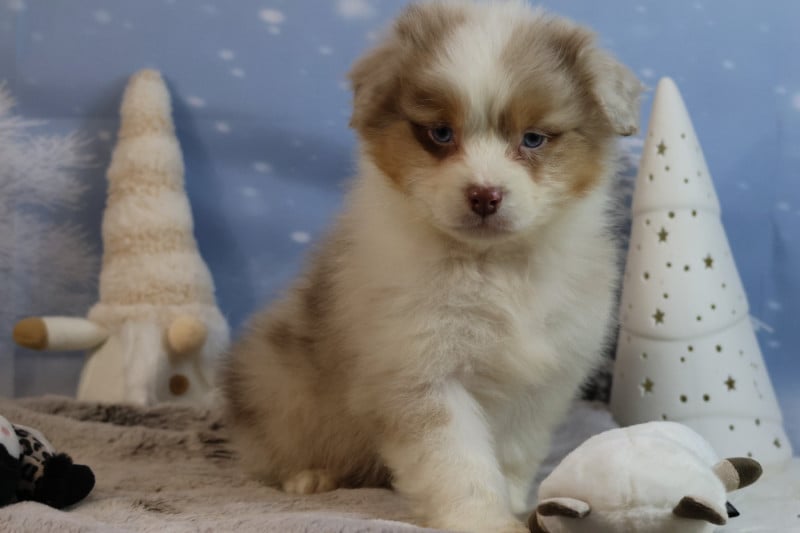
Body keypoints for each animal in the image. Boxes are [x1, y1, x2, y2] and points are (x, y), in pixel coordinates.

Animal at [222, 1, 641, 531]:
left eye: (533, 139)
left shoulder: (541, 379)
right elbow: (457, 461)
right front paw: (482, 519)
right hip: (278, 383)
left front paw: (513, 502)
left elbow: (512, 452)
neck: (491, 266)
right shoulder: (420, 371)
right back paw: (310, 476)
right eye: (440, 133)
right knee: (274, 449)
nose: (484, 195)